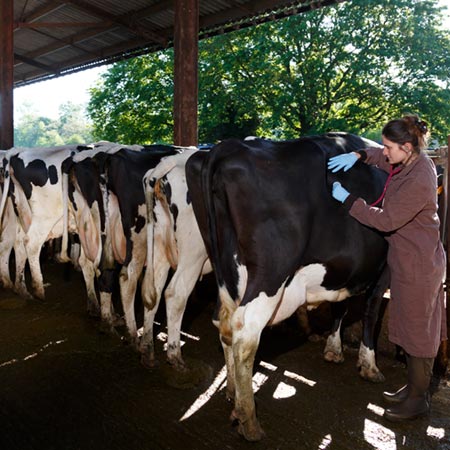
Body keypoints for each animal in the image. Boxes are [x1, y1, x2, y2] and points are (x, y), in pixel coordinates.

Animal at [141, 148, 213, 370]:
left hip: (159, 245)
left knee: (154, 293)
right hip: (194, 252)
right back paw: (175, 355)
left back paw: (147, 349)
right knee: (175, 294)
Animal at [185, 133, 390, 440]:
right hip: (271, 273)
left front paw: (334, 349)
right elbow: (371, 314)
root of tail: (228, 147)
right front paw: (369, 365)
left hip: (225, 268)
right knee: (245, 331)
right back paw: (249, 420)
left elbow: (340, 307)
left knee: (224, 323)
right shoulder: (386, 271)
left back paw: (233, 393)